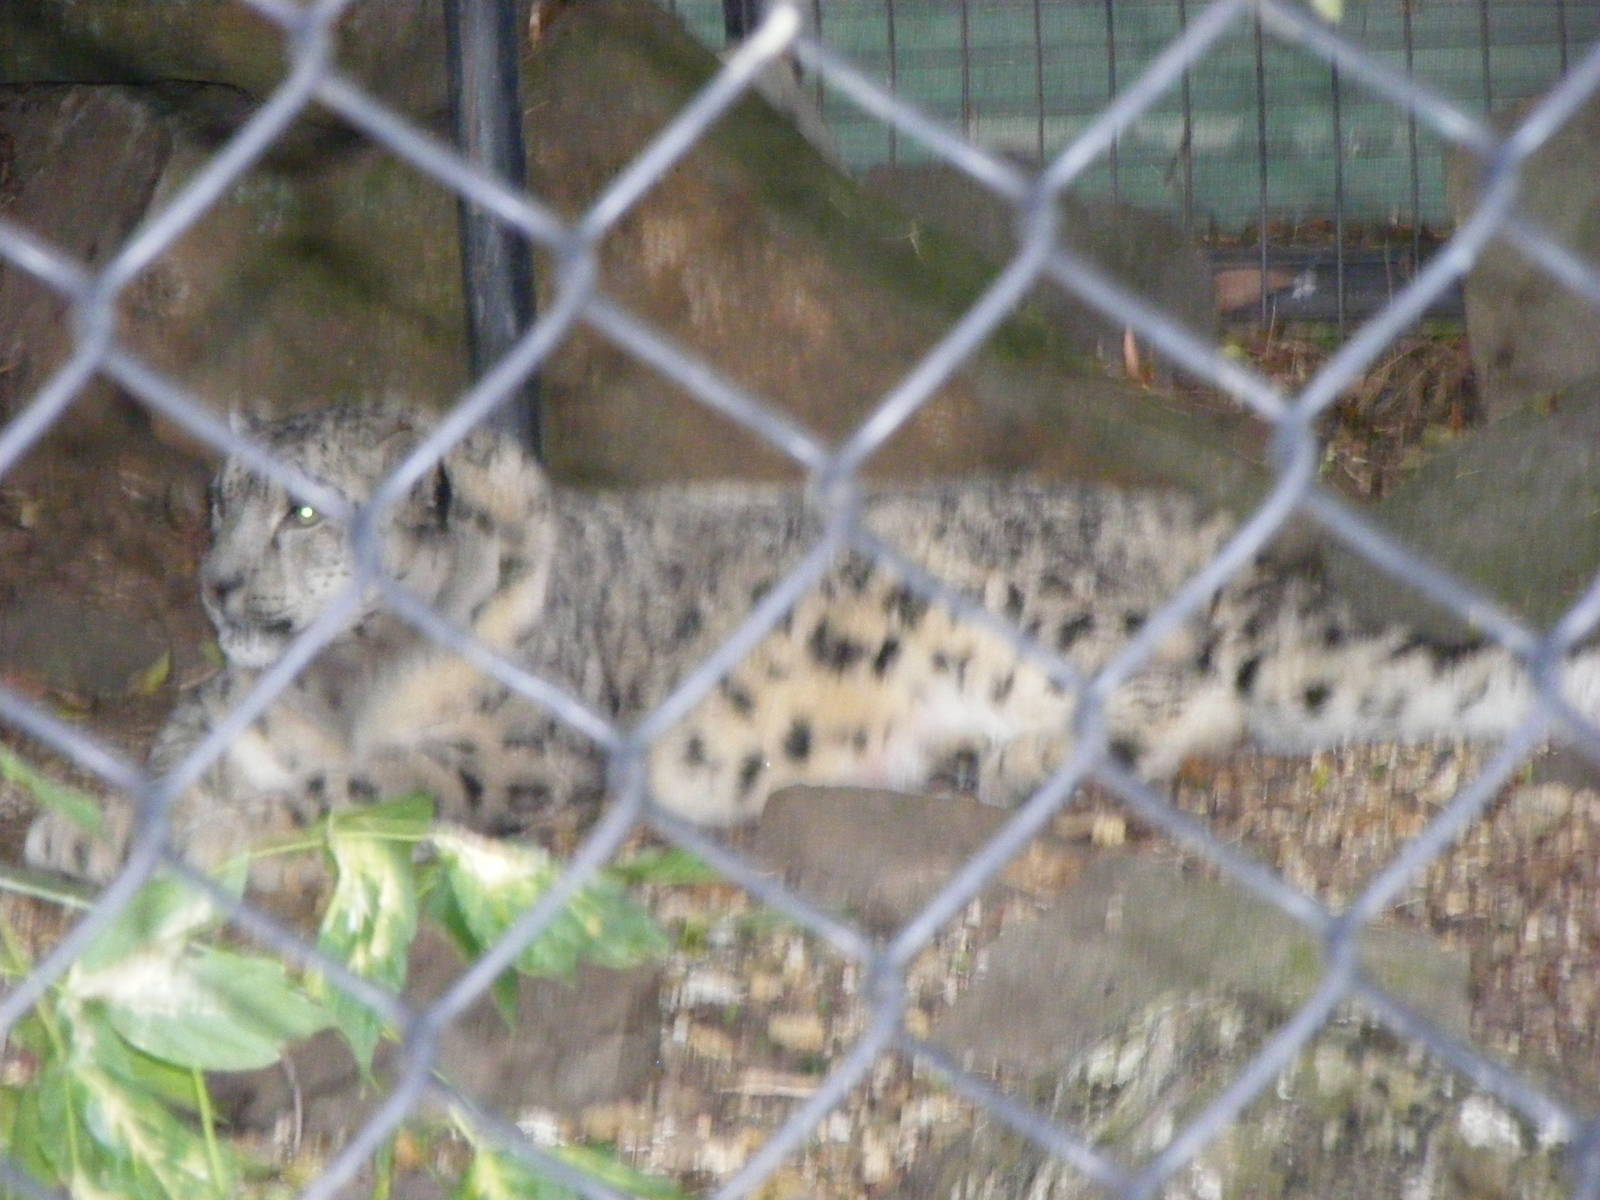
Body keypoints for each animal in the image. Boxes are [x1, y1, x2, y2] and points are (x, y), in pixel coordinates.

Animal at [24, 403, 1600, 887]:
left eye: (299, 510)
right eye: (211, 499)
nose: (217, 585)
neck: (333, 689)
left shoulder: (515, 766)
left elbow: (351, 787)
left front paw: (201, 828)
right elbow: (180, 762)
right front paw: (81, 824)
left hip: (1013, 593)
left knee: (1190, 687)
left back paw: (1018, 757)